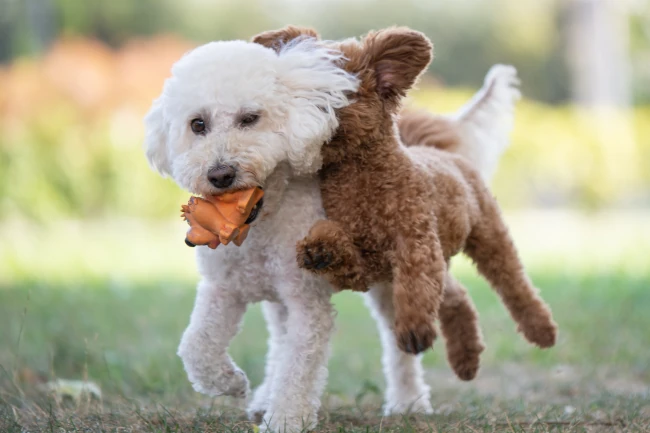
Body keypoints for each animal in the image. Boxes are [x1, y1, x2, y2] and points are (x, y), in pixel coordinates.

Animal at [144, 34, 520, 432]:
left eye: (250, 118)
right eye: (197, 124)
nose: (220, 174)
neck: (261, 223)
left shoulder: (307, 302)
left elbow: (298, 367)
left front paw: (285, 418)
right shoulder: (223, 288)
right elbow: (196, 345)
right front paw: (230, 383)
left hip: (391, 279)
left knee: (406, 333)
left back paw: (409, 401)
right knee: (277, 341)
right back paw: (263, 396)